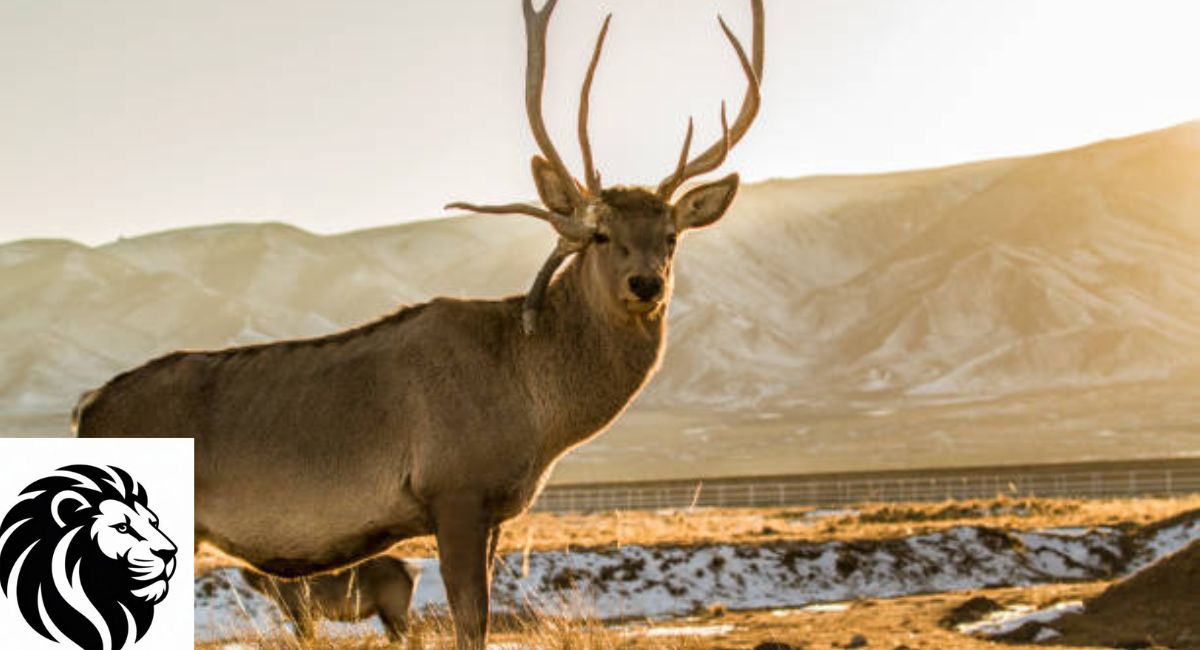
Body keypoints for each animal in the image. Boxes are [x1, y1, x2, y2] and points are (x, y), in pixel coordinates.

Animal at [75, 1, 764, 648]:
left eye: (671, 236)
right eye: (600, 234)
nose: (646, 284)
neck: (536, 411)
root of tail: (86, 409)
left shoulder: (493, 510)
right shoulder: (454, 489)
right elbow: (469, 622)